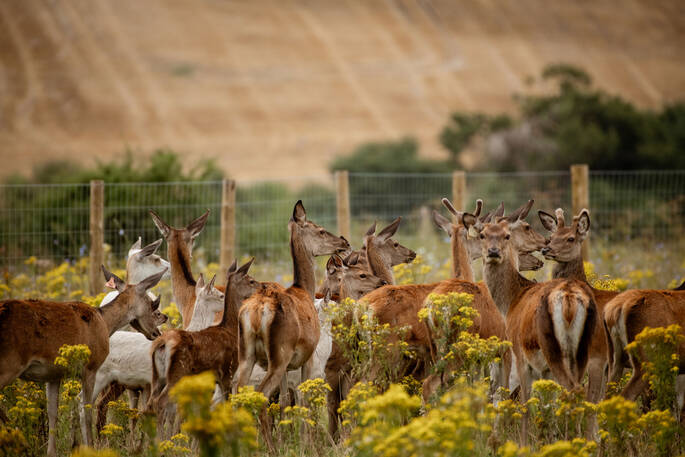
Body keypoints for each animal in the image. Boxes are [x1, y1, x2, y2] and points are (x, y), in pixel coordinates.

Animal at [0, 266, 166, 457]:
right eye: (152, 304)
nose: (157, 333)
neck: (105, 323)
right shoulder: (91, 367)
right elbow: (85, 410)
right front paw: (89, 447)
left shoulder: (53, 374)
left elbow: (52, 413)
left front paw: (53, 451)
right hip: (9, 363)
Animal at [148, 259, 260, 437]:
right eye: (250, 280)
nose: (264, 287)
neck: (230, 329)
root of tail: (162, 343)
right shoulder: (227, 371)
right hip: (177, 373)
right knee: (160, 403)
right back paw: (161, 440)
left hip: (157, 376)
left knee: (150, 404)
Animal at [232, 200, 349, 451]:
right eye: (320, 230)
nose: (344, 241)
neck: (304, 289)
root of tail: (256, 312)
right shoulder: (307, 357)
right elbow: (303, 400)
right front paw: (306, 444)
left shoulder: (288, 368)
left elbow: (286, 400)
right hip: (279, 353)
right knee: (260, 395)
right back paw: (270, 448)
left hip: (247, 354)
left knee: (237, 394)